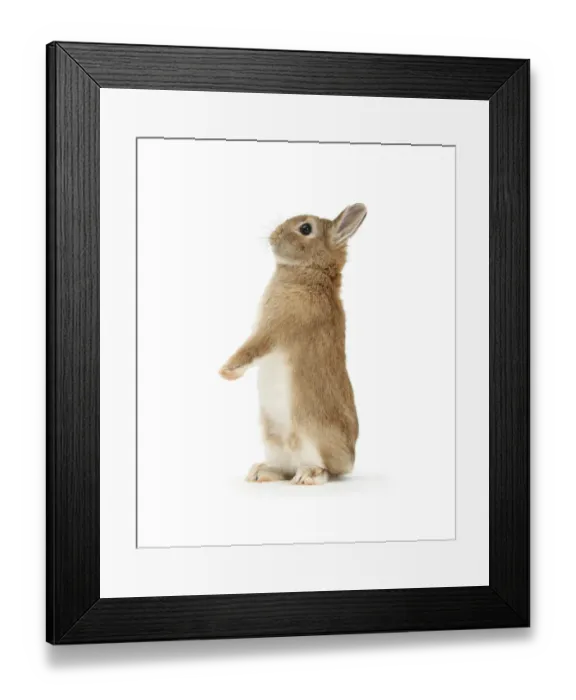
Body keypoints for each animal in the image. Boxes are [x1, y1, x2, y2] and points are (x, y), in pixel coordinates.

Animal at [219, 203, 367, 485]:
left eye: (305, 228)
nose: (273, 236)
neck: (311, 272)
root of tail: (349, 462)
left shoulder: (273, 328)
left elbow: (252, 349)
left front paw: (227, 372)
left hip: (310, 433)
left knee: (325, 470)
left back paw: (308, 475)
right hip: (272, 436)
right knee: (283, 467)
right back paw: (261, 472)